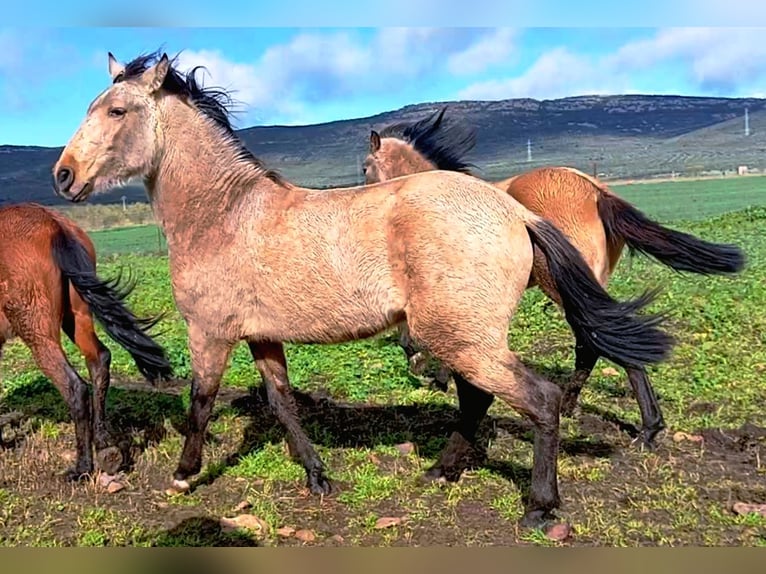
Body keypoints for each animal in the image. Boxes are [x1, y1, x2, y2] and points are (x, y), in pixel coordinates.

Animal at [1, 205, 172, 480]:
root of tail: (53, 224)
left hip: (37, 331)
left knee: (75, 386)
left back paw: (82, 466)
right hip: (78, 317)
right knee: (99, 360)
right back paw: (105, 447)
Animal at [54, 51, 676, 528]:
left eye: (116, 110)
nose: (63, 175)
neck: (225, 214)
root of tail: (516, 212)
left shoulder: (210, 332)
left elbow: (200, 400)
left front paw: (184, 476)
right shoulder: (262, 337)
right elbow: (282, 402)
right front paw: (317, 476)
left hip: (460, 337)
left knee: (539, 399)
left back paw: (540, 507)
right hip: (462, 337)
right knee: (482, 398)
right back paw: (442, 470)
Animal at [366, 109, 752, 450]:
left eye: (365, 167)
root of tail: (596, 191)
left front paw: (429, 369)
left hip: (562, 286)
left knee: (595, 340)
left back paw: (638, 427)